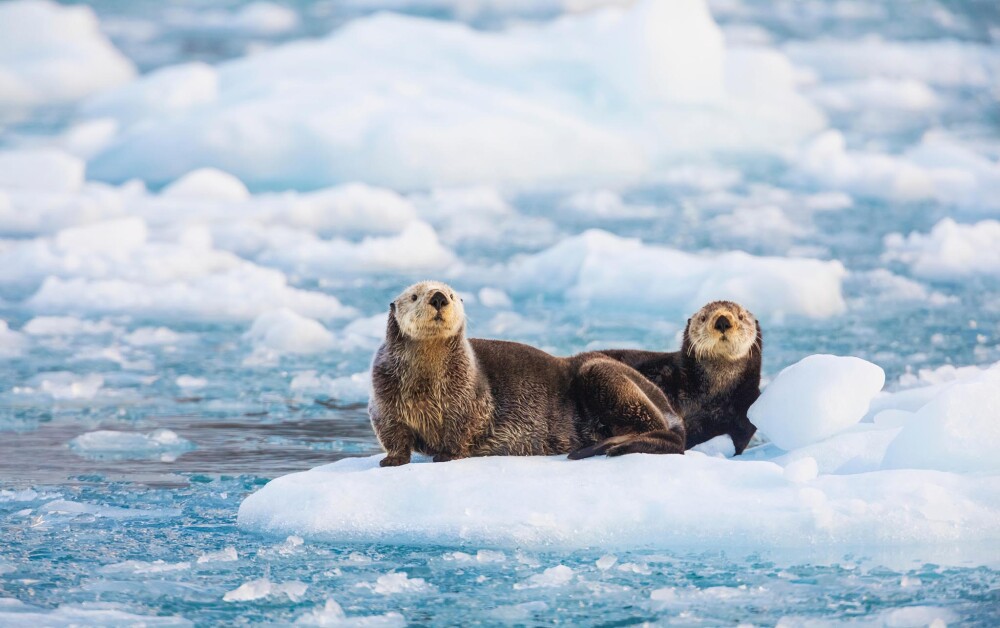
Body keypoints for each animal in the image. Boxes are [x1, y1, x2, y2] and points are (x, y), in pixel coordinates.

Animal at [368, 281, 685, 466]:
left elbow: (464, 426)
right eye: (414, 296)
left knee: (669, 438)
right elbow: (391, 430)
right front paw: (393, 460)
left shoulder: (470, 394)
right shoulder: (384, 396)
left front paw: (447, 455)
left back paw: (606, 446)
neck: (427, 381)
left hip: (600, 372)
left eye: (452, 294)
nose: (437, 298)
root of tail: (671, 411)